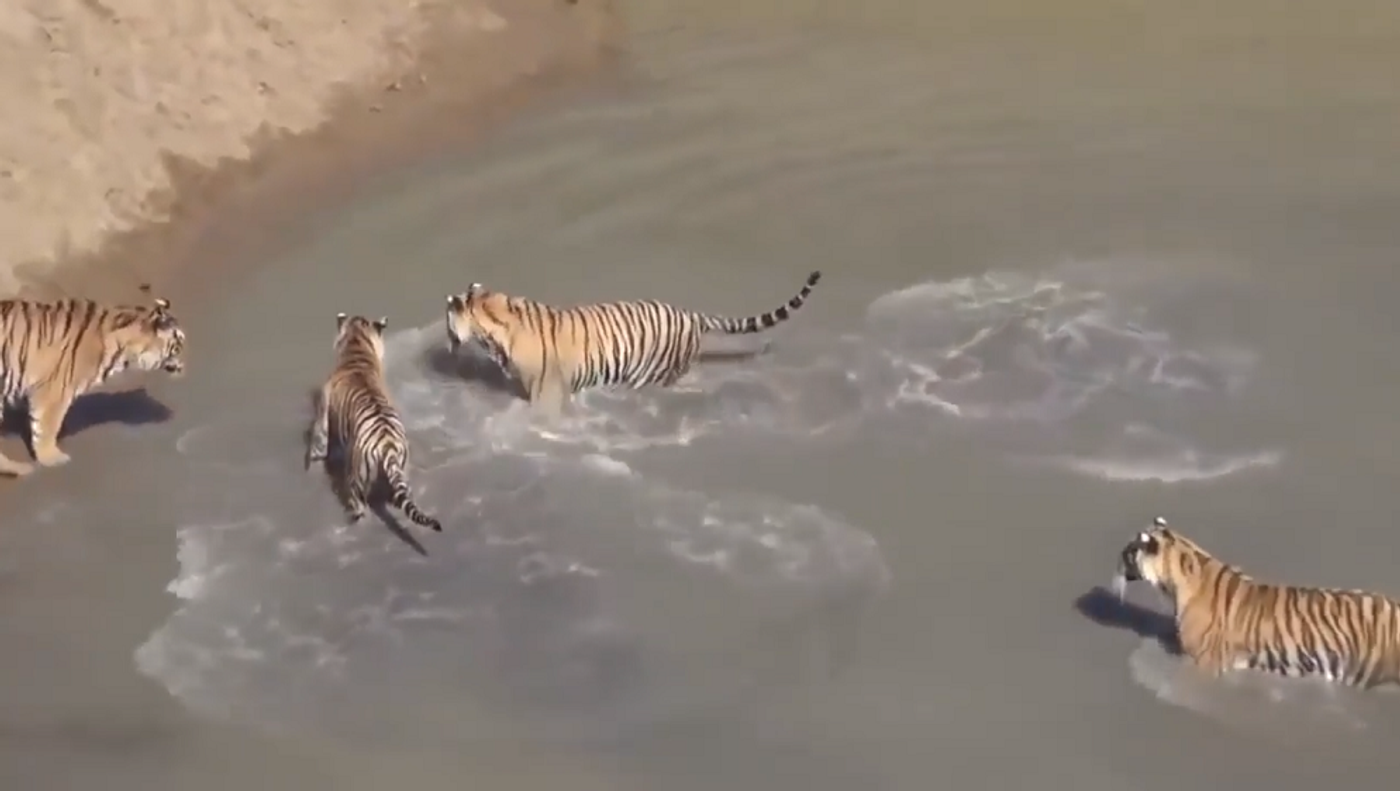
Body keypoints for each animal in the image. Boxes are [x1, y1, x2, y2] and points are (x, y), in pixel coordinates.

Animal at [303, 312, 439, 534]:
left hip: (356, 482)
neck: (357, 344)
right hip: (402, 471)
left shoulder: (322, 418)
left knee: (359, 507)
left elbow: (318, 447)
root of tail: (388, 446)